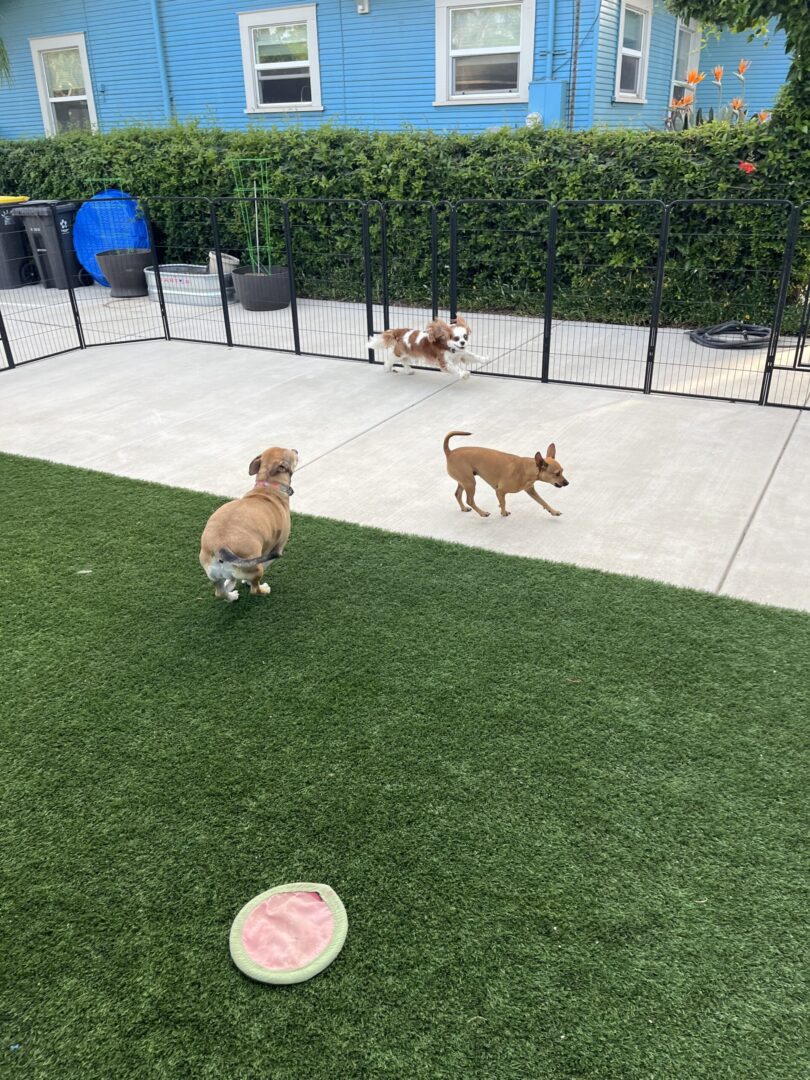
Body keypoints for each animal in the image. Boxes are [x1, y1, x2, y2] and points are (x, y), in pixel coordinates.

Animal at [198, 444, 298, 604]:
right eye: (292, 454)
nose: (296, 450)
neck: (269, 486)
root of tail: (221, 547)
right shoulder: (275, 548)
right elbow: (265, 563)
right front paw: (246, 582)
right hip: (255, 568)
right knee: (255, 589)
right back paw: (263, 589)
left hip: (214, 575)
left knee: (220, 592)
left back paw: (231, 593)